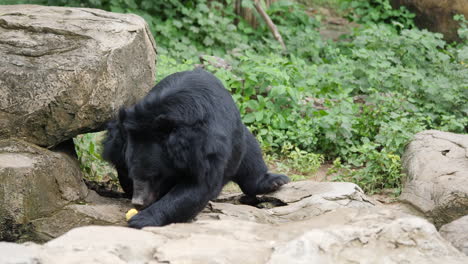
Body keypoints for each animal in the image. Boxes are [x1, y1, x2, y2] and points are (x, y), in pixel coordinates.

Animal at [102, 69, 288, 228]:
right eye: (132, 174)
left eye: (154, 176)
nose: (138, 202)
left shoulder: (204, 146)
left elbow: (198, 185)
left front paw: (141, 219)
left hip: (237, 137)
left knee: (250, 156)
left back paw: (274, 181)